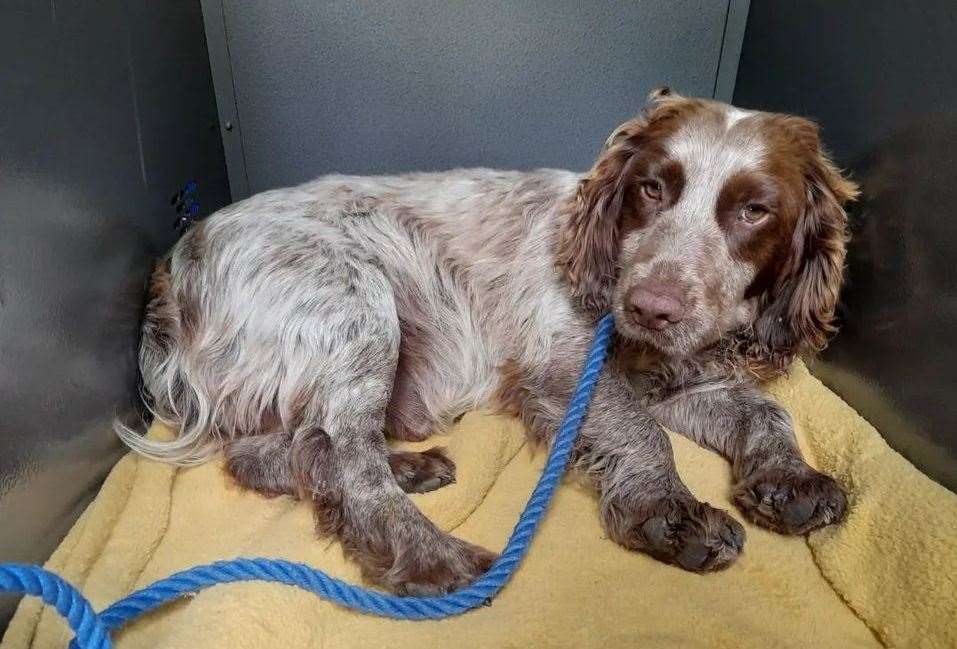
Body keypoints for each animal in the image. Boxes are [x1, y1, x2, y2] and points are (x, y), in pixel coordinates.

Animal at [119, 90, 860, 592]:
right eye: (651, 188)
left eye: (754, 210)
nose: (650, 307)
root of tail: (174, 267)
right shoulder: (565, 366)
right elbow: (640, 434)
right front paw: (669, 515)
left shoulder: (677, 380)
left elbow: (765, 409)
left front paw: (788, 478)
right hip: (358, 303)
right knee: (343, 455)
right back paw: (429, 555)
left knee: (272, 452)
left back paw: (407, 468)